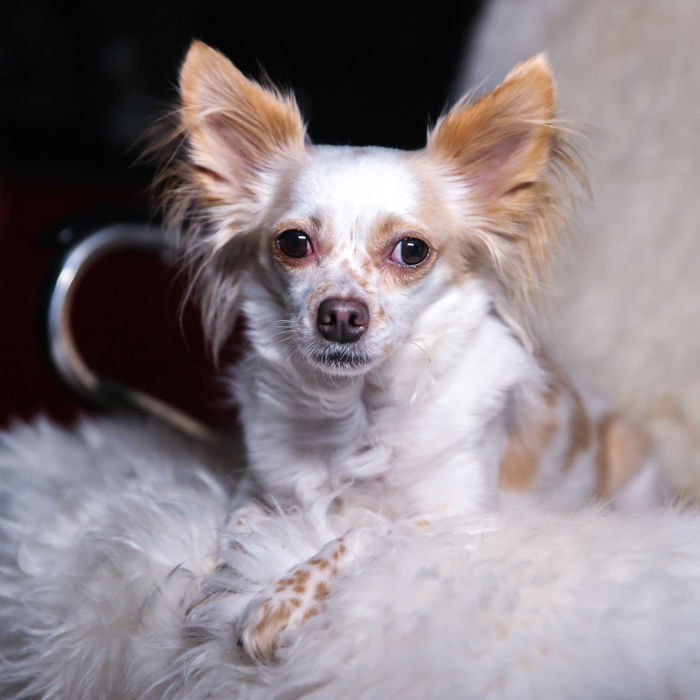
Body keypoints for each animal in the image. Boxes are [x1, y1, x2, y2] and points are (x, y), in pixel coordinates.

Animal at [160, 39, 668, 660]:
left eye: (412, 250)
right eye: (294, 243)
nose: (340, 315)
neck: (358, 415)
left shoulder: (461, 520)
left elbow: (365, 530)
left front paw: (279, 599)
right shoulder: (259, 487)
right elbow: (241, 526)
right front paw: (218, 587)